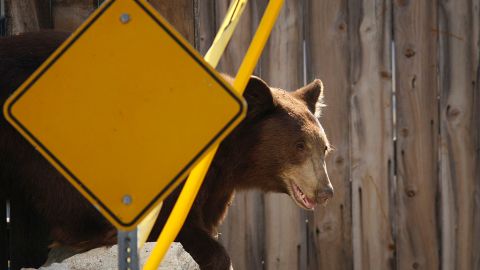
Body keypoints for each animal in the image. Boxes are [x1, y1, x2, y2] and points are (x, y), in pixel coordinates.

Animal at [0, 32, 332, 270]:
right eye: (299, 146)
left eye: (324, 148)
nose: (325, 191)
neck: (228, 155)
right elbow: (174, 223)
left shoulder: (216, 183)